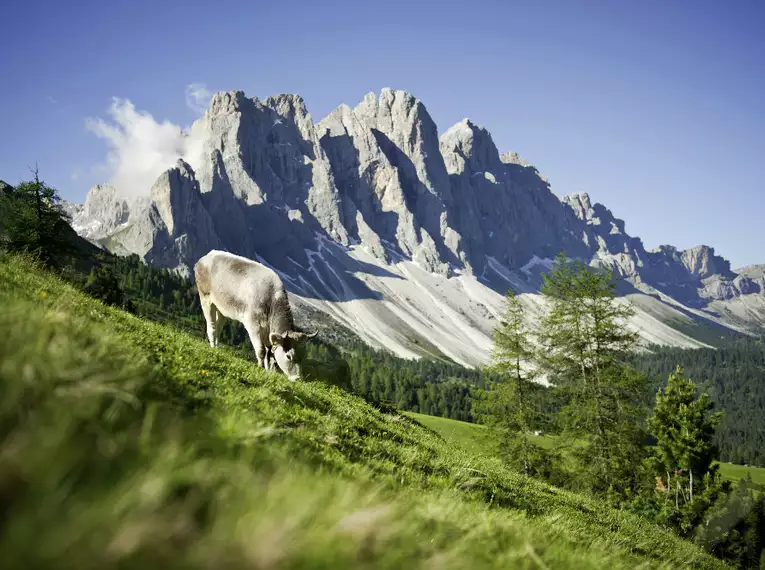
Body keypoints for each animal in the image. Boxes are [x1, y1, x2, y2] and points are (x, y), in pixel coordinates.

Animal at [197, 250, 320, 380]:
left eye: (303, 356)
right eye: (288, 356)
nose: (297, 378)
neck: (271, 300)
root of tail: (208, 256)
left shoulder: (268, 333)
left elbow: (270, 354)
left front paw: (269, 370)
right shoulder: (253, 326)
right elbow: (261, 350)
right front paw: (260, 367)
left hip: (221, 308)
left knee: (219, 327)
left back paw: (216, 347)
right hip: (205, 298)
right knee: (211, 326)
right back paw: (212, 346)